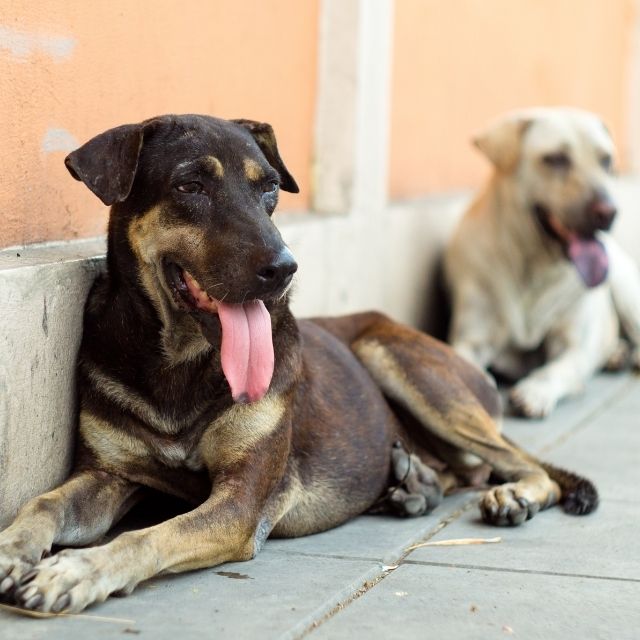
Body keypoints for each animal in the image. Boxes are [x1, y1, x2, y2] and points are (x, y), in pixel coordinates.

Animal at [444, 107, 640, 418]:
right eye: (556, 158)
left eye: (606, 160)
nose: (608, 212)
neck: (534, 269)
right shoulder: (471, 339)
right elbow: (465, 363)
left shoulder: (573, 348)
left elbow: (554, 370)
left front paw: (534, 391)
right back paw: (617, 355)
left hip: (625, 289)